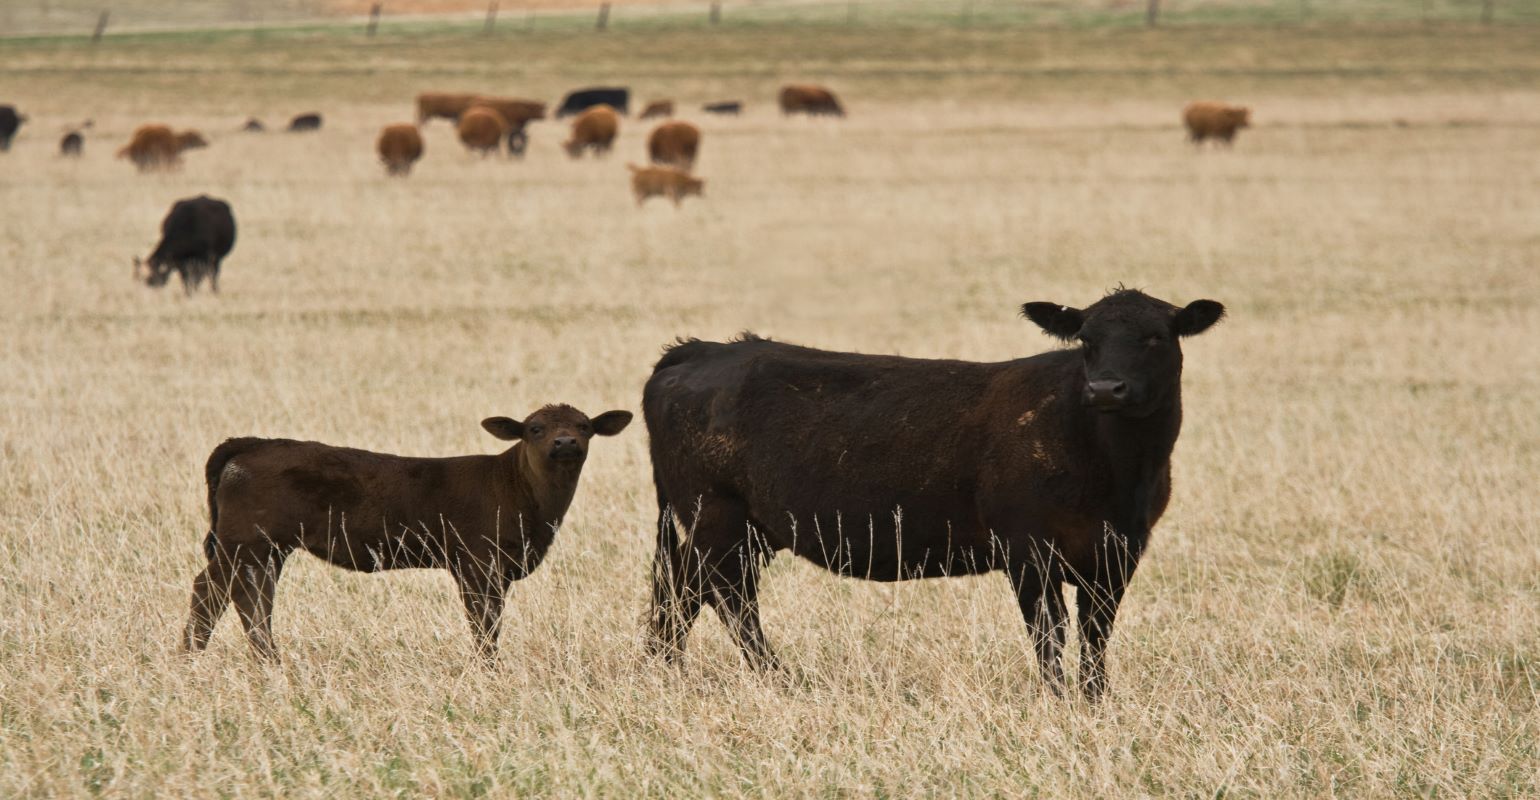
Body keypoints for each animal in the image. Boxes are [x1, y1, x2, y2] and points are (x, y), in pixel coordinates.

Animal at [181, 403, 631, 659]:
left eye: (585, 426)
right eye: (535, 428)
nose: (565, 442)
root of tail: (251, 443)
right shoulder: (478, 562)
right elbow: (484, 622)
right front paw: (487, 668)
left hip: (266, 547)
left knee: (251, 597)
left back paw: (265, 660)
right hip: (246, 541)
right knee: (212, 591)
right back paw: (193, 657)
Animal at [646, 289, 1225, 702]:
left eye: (1156, 337)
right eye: (1085, 340)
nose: (1105, 388)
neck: (1117, 468)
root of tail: (701, 349)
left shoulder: (1118, 550)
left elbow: (1097, 630)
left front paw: (1096, 700)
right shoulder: (1027, 549)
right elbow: (1049, 630)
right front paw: (1059, 701)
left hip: (743, 527)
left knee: (687, 589)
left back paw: (666, 668)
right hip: (717, 516)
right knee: (725, 595)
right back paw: (775, 679)